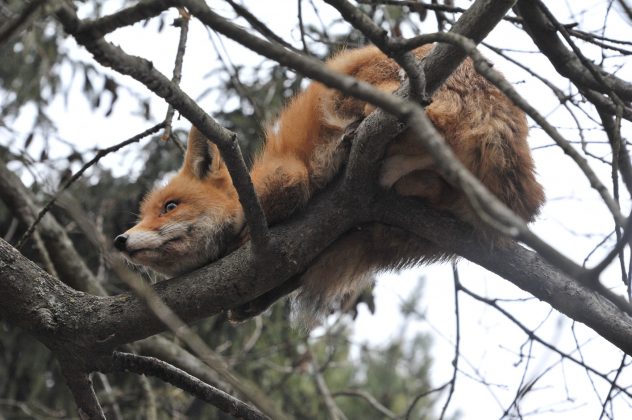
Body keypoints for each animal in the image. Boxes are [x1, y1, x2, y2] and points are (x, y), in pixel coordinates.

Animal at [113, 44, 544, 324]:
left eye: (170, 207)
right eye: (144, 213)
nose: (120, 240)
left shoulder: (286, 176)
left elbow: (282, 199)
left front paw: (240, 241)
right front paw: (251, 303)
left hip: (368, 74)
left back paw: (358, 138)